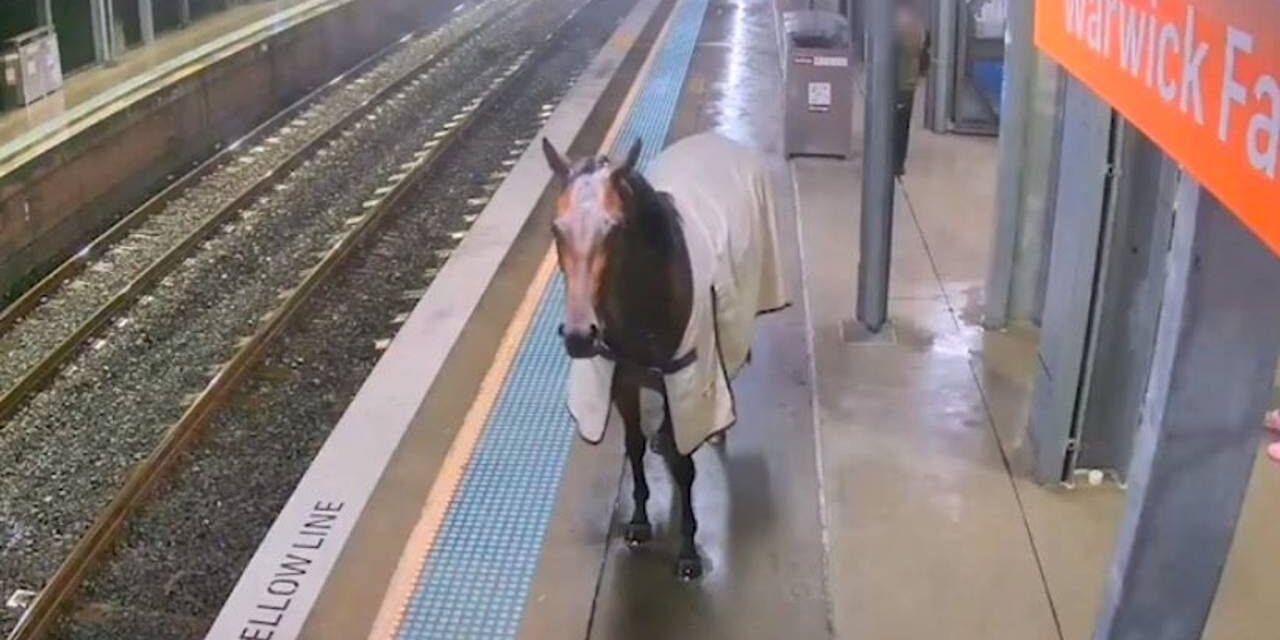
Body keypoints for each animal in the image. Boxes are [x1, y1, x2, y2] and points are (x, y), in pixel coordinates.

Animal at [542, 129, 783, 581]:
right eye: (556, 228)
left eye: (616, 228)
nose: (580, 336)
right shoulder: (623, 381)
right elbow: (633, 446)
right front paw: (639, 520)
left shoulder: (686, 379)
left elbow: (686, 465)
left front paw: (688, 550)